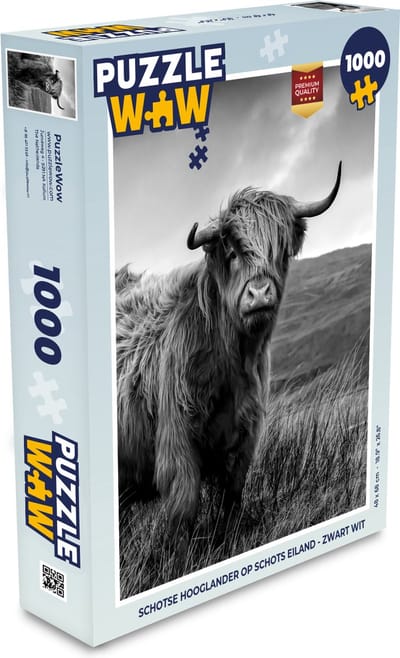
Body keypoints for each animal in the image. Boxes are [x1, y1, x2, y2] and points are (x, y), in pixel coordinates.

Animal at [116, 163, 342, 535]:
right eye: (233, 253)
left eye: (280, 249)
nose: (260, 294)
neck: (233, 362)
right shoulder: (177, 445)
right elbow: (183, 512)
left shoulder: (243, 440)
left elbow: (232, 502)